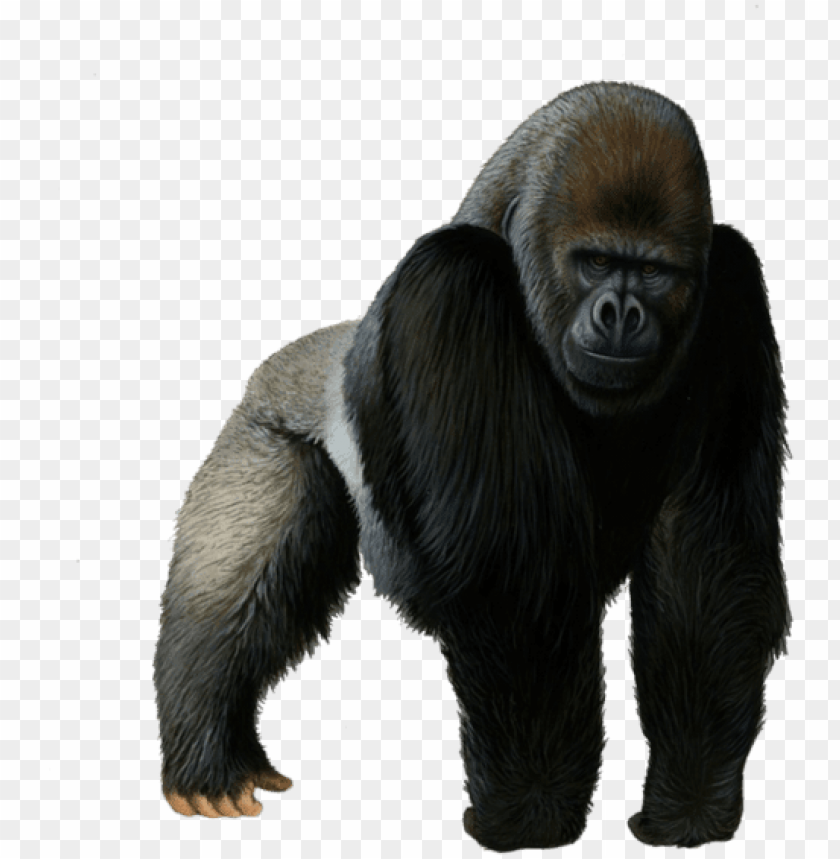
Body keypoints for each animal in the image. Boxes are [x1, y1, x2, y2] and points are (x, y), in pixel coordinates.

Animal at [154, 82, 790, 851]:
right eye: (594, 262)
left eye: (654, 271)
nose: (620, 313)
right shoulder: (451, 280)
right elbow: (514, 587)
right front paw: (530, 815)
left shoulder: (732, 287)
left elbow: (707, 564)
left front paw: (688, 808)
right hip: (265, 426)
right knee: (232, 583)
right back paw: (209, 749)